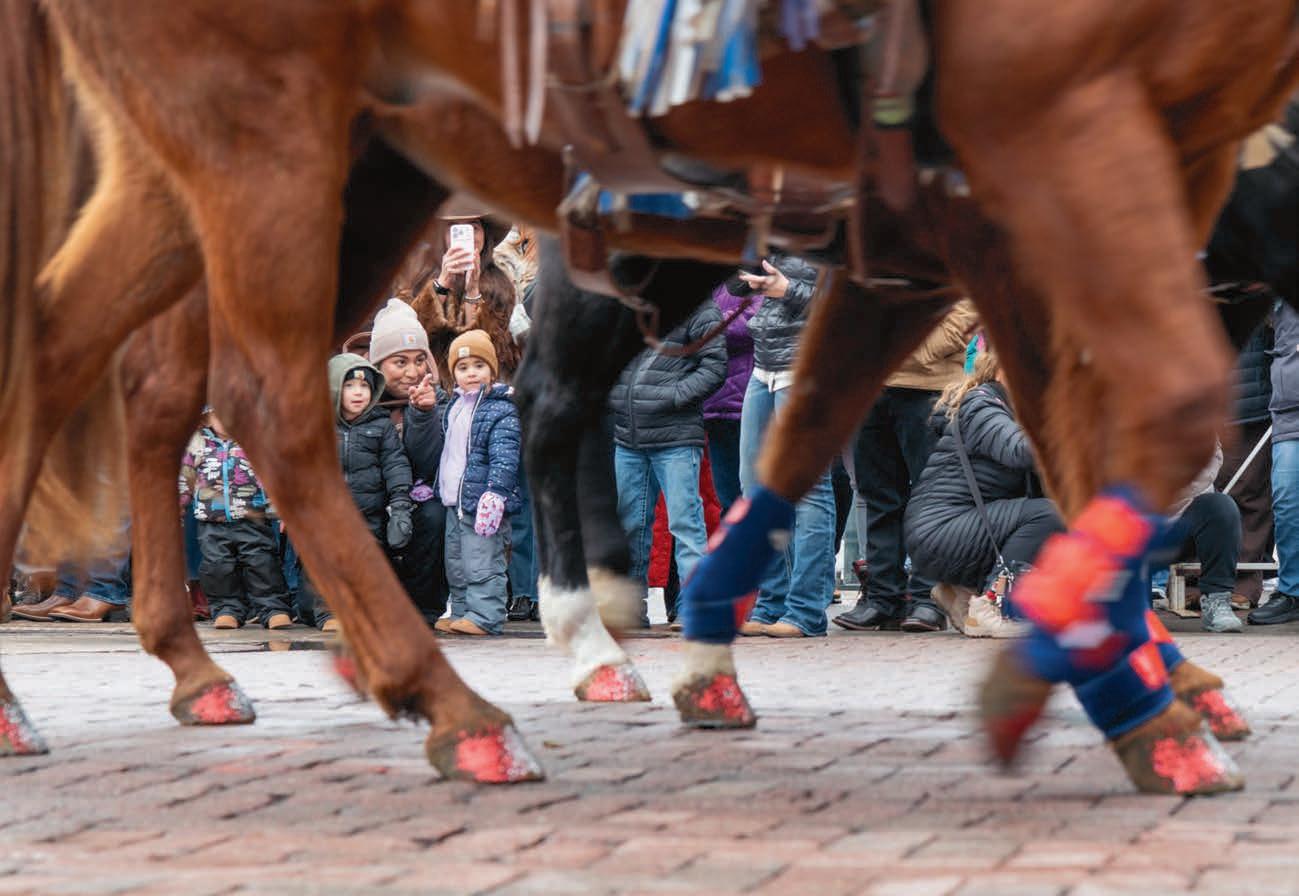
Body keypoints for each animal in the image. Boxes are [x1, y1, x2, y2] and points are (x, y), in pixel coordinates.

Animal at [3, 0, 1297, 795]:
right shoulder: (1038, 160)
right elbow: (1137, 420)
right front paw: (1128, 701)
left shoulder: (950, 233)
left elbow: (830, 432)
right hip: (265, 141)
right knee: (288, 399)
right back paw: (476, 698)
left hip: (307, 173)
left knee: (94, 359)